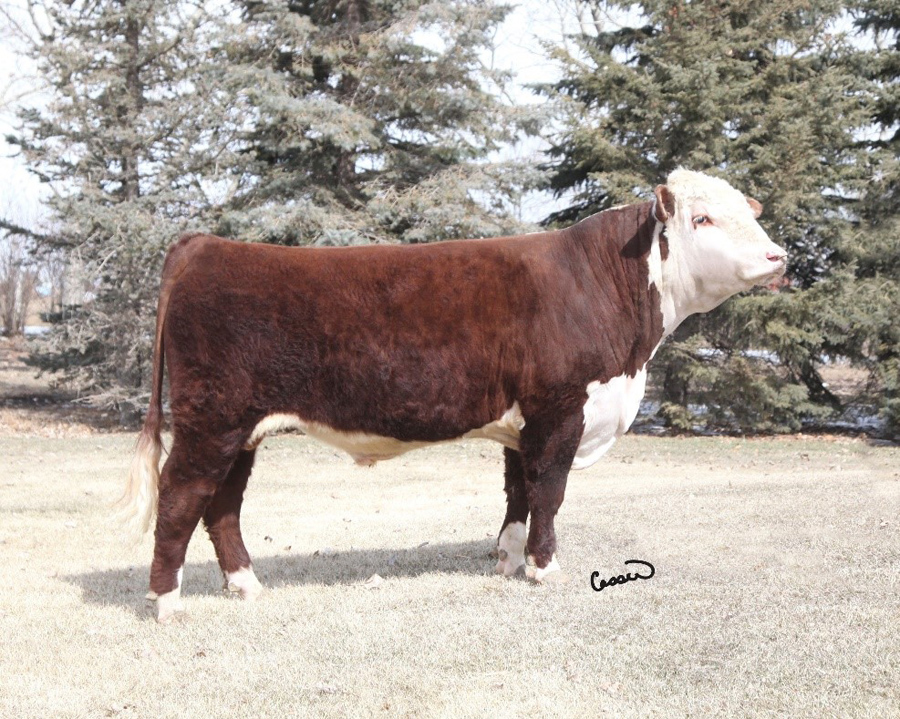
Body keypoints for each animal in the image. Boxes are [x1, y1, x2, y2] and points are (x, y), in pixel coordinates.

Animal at [122, 169, 787, 622]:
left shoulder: (523, 422)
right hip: (212, 418)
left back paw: (245, 584)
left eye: (748, 214)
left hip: (242, 430)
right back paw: (167, 602)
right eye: (703, 220)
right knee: (182, 497)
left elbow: (519, 493)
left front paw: (509, 560)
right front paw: (546, 570)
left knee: (222, 505)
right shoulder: (560, 408)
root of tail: (206, 244)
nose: (778, 256)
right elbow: (550, 493)